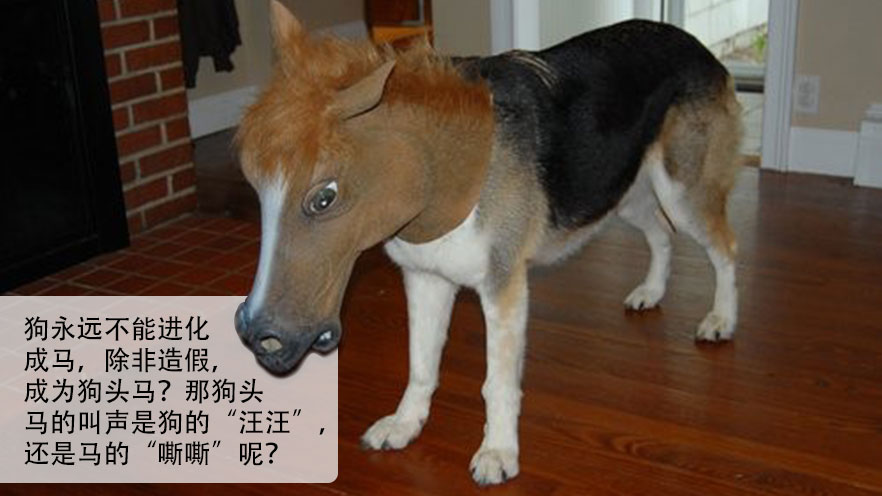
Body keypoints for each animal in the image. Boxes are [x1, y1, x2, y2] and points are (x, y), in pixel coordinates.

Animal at [233, 1, 742, 485]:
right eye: (255, 189)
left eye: (324, 198)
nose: (256, 335)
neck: (443, 180)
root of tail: (693, 43)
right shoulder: (424, 279)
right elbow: (420, 365)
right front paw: (405, 423)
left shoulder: (504, 287)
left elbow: (497, 383)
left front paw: (498, 452)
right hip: (618, 193)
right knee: (661, 232)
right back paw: (651, 291)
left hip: (682, 191)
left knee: (725, 250)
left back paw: (721, 319)